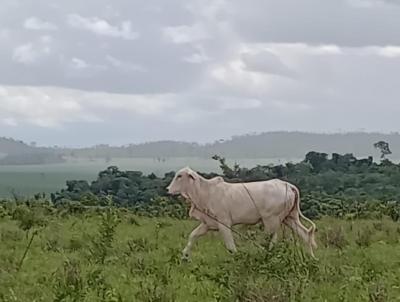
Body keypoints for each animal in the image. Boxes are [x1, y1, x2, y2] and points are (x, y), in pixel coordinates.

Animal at [167, 166, 318, 258]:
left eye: (179, 176)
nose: (168, 189)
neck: (205, 192)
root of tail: (288, 185)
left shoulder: (224, 223)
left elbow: (230, 247)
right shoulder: (207, 224)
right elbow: (192, 236)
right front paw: (185, 257)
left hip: (271, 220)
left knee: (271, 241)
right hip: (290, 218)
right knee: (305, 234)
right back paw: (311, 258)